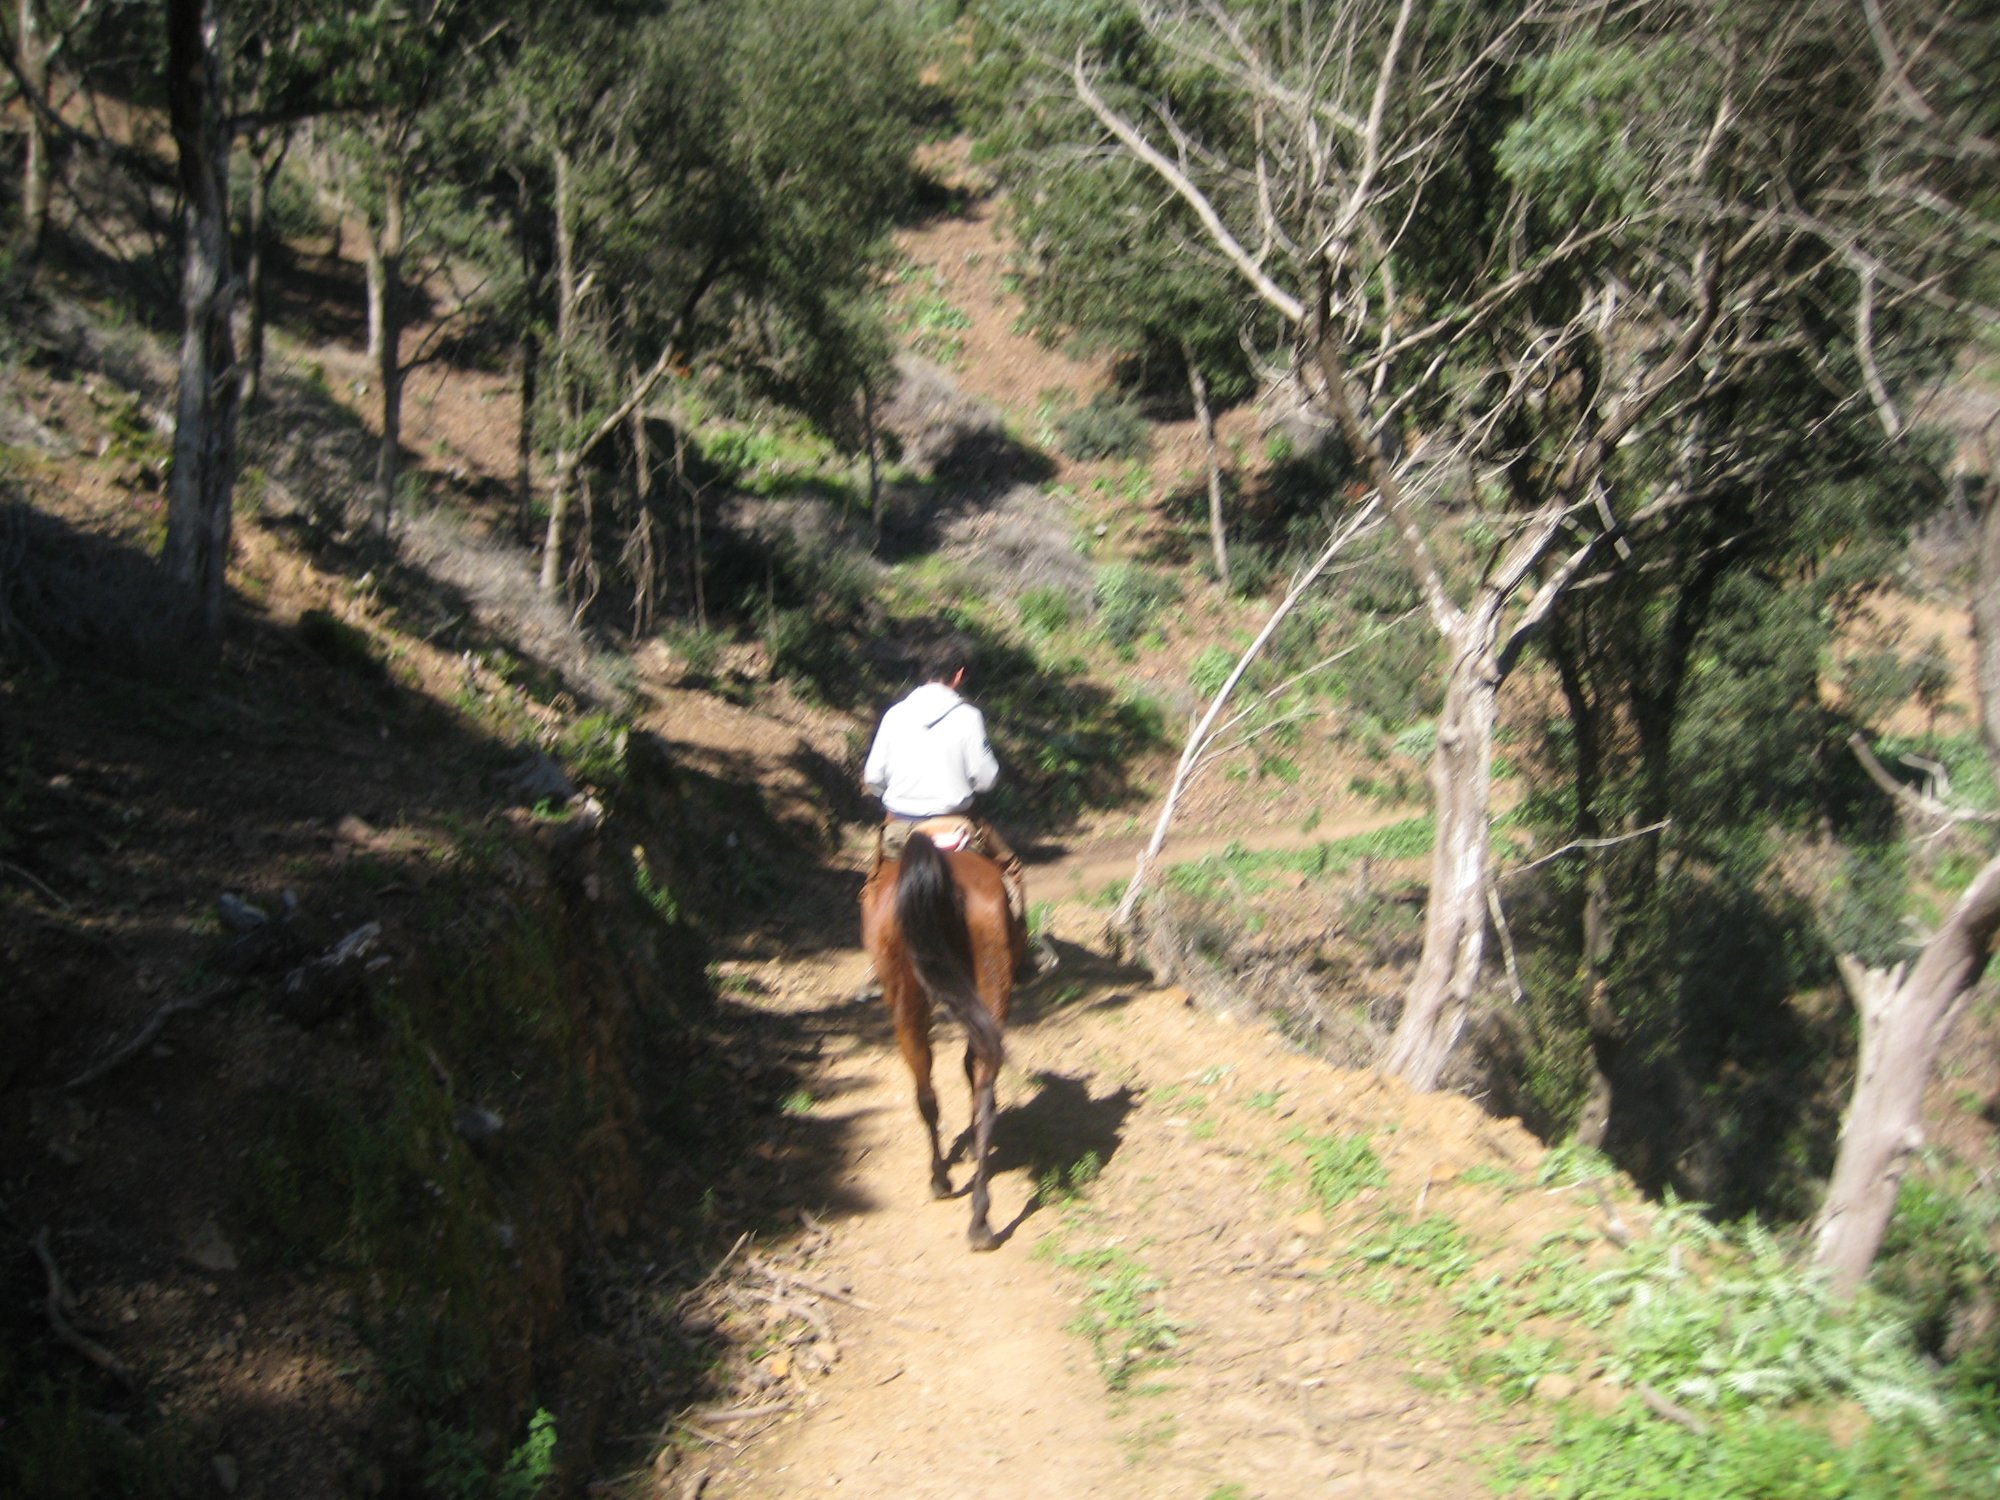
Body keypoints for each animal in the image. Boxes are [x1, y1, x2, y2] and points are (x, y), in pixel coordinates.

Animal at [860, 828, 1024, 1248]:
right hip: (987, 986)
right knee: (978, 1090)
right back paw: (980, 1218)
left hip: (910, 1003)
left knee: (930, 1088)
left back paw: (941, 1180)